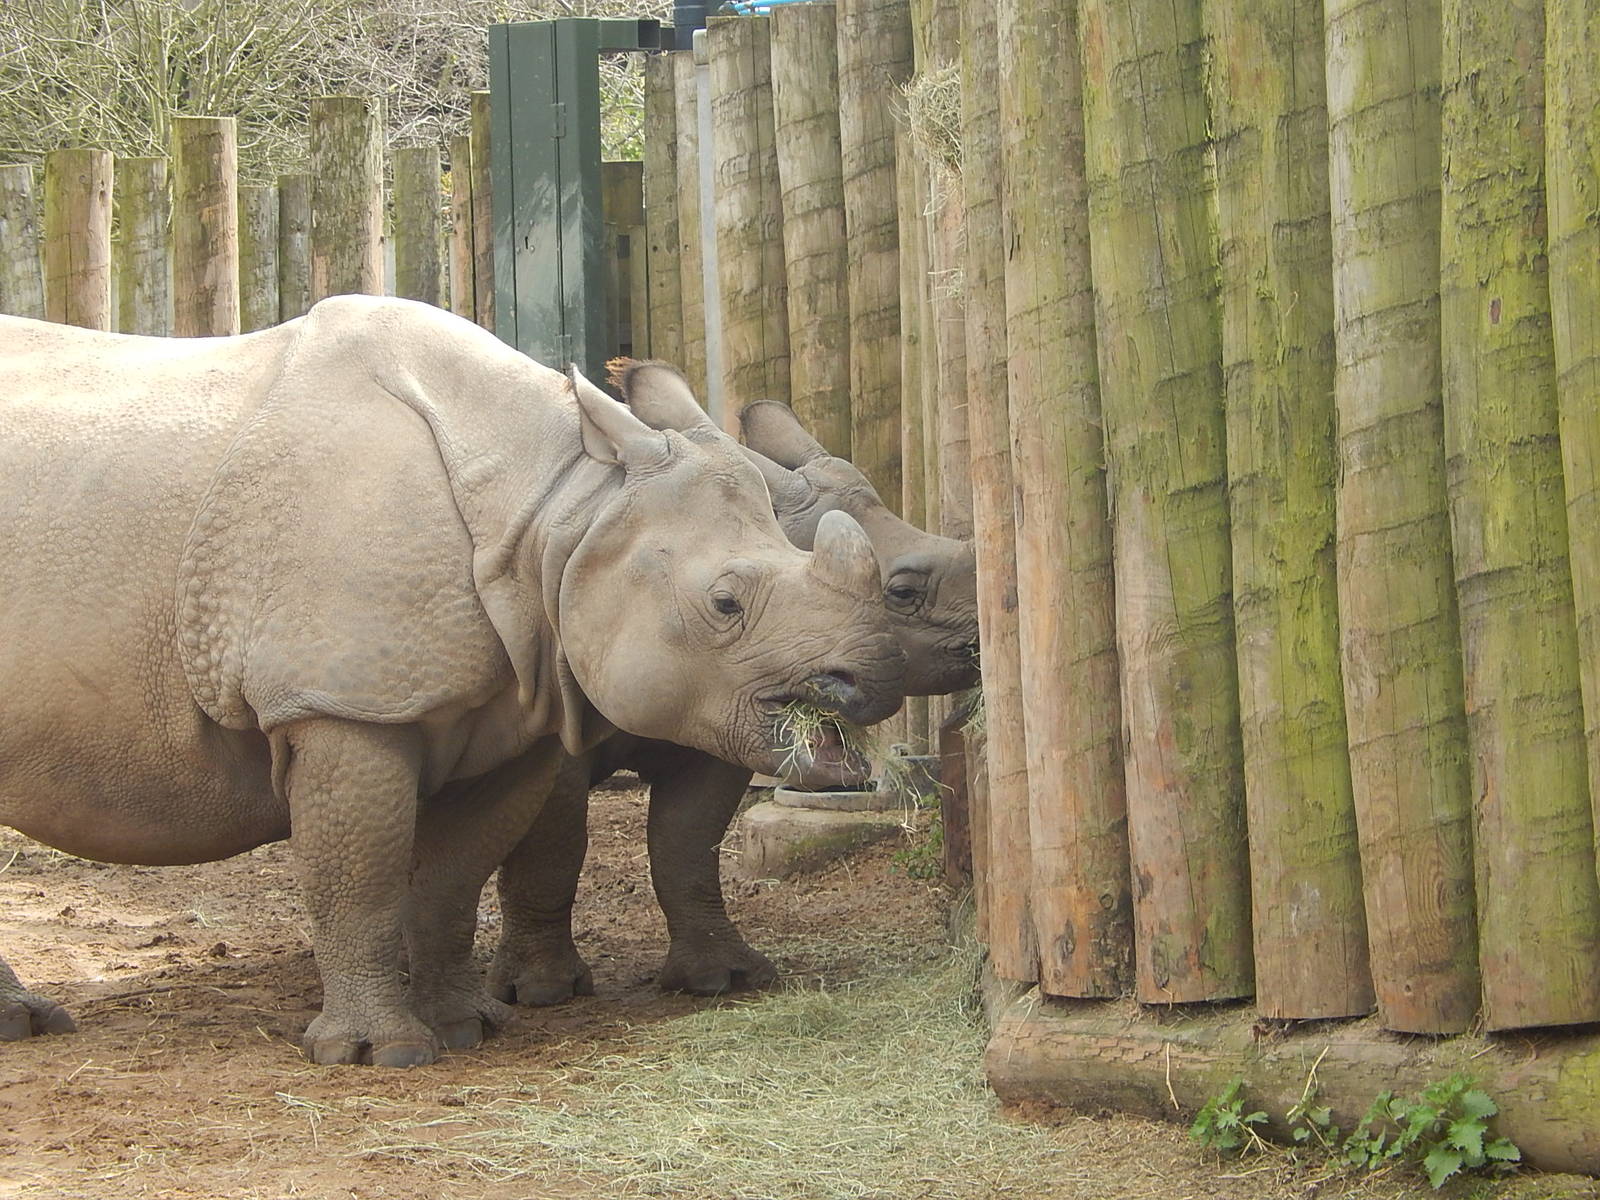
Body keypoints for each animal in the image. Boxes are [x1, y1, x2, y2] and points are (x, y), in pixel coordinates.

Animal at [0, 297, 908, 1067]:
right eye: (724, 603)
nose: (875, 677)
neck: (559, 511)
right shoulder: (342, 706)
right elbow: (358, 879)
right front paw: (379, 1055)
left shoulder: (512, 711)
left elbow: (449, 879)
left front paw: (467, 1026)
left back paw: (23, 1026)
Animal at [484, 370, 980, 1004]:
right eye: (901, 592)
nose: (987, 630)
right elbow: (553, 843)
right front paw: (542, 991)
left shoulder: (726, 706)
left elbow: (689, 841)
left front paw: (721, 978)